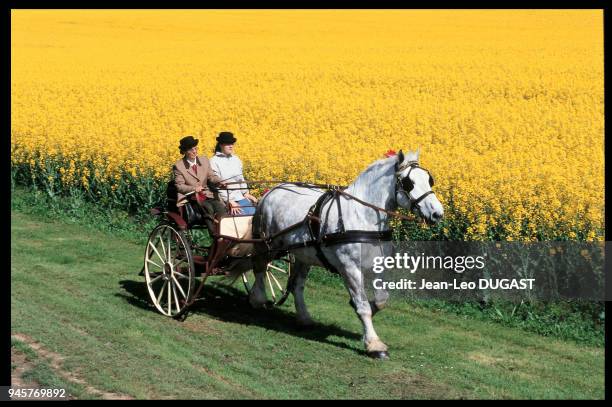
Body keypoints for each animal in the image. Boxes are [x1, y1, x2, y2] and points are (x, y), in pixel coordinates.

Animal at [246, 151, 442, 360]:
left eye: (429, 179)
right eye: (408, 182)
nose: (438, 213)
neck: (363, 217)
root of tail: (271, 191)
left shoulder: (378, 265)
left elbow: (381, 299)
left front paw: (364, 314)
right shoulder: (350, 268)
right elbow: (363, 306)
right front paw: (374, 344)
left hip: (304, 254)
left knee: (297, 284)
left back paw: (304, 318)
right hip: (269, 244)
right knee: (259, 267)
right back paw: (257, 299)